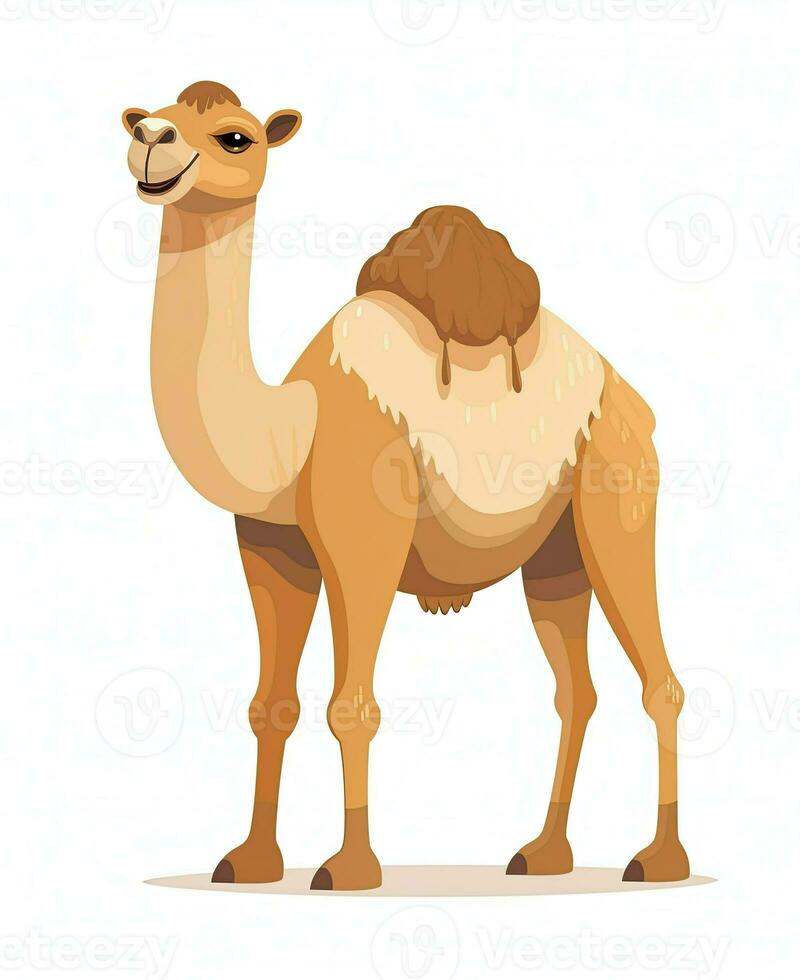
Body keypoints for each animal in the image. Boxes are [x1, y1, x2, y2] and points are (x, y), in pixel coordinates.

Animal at [122, 80, 690, 891]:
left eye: (235, 137)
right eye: (149, 116)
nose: (151, 143)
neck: (291, 428)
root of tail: (630, 395)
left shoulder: (365, 541)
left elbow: (351, 706)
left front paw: (350, 868)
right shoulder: (271, 548)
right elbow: (272, 704)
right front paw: (250, 861)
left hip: (619, 495)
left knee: (659, 679)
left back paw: (660, 858)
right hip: (556, 556)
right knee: (576, 690)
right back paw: (543, 854)